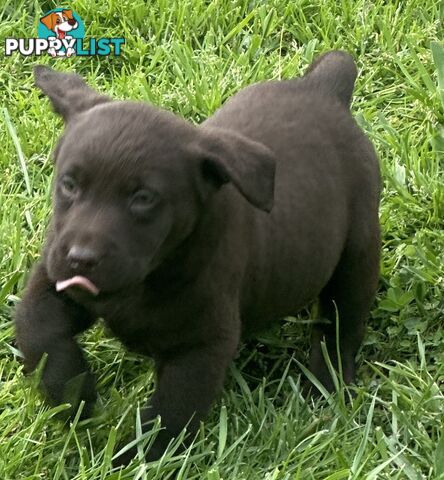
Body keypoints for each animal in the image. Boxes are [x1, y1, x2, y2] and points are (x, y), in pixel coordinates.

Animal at [15, 51, 380, 464]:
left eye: (143, 198)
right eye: (69, 185)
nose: (80, 260)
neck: (148, 279)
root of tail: (323, 88)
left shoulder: (200, 345)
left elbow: (170, 413)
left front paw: (132, 460)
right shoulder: (53, 279)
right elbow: (37, 328)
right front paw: (74, 396)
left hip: (358, 249)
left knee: (342, 321)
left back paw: (327, 383)